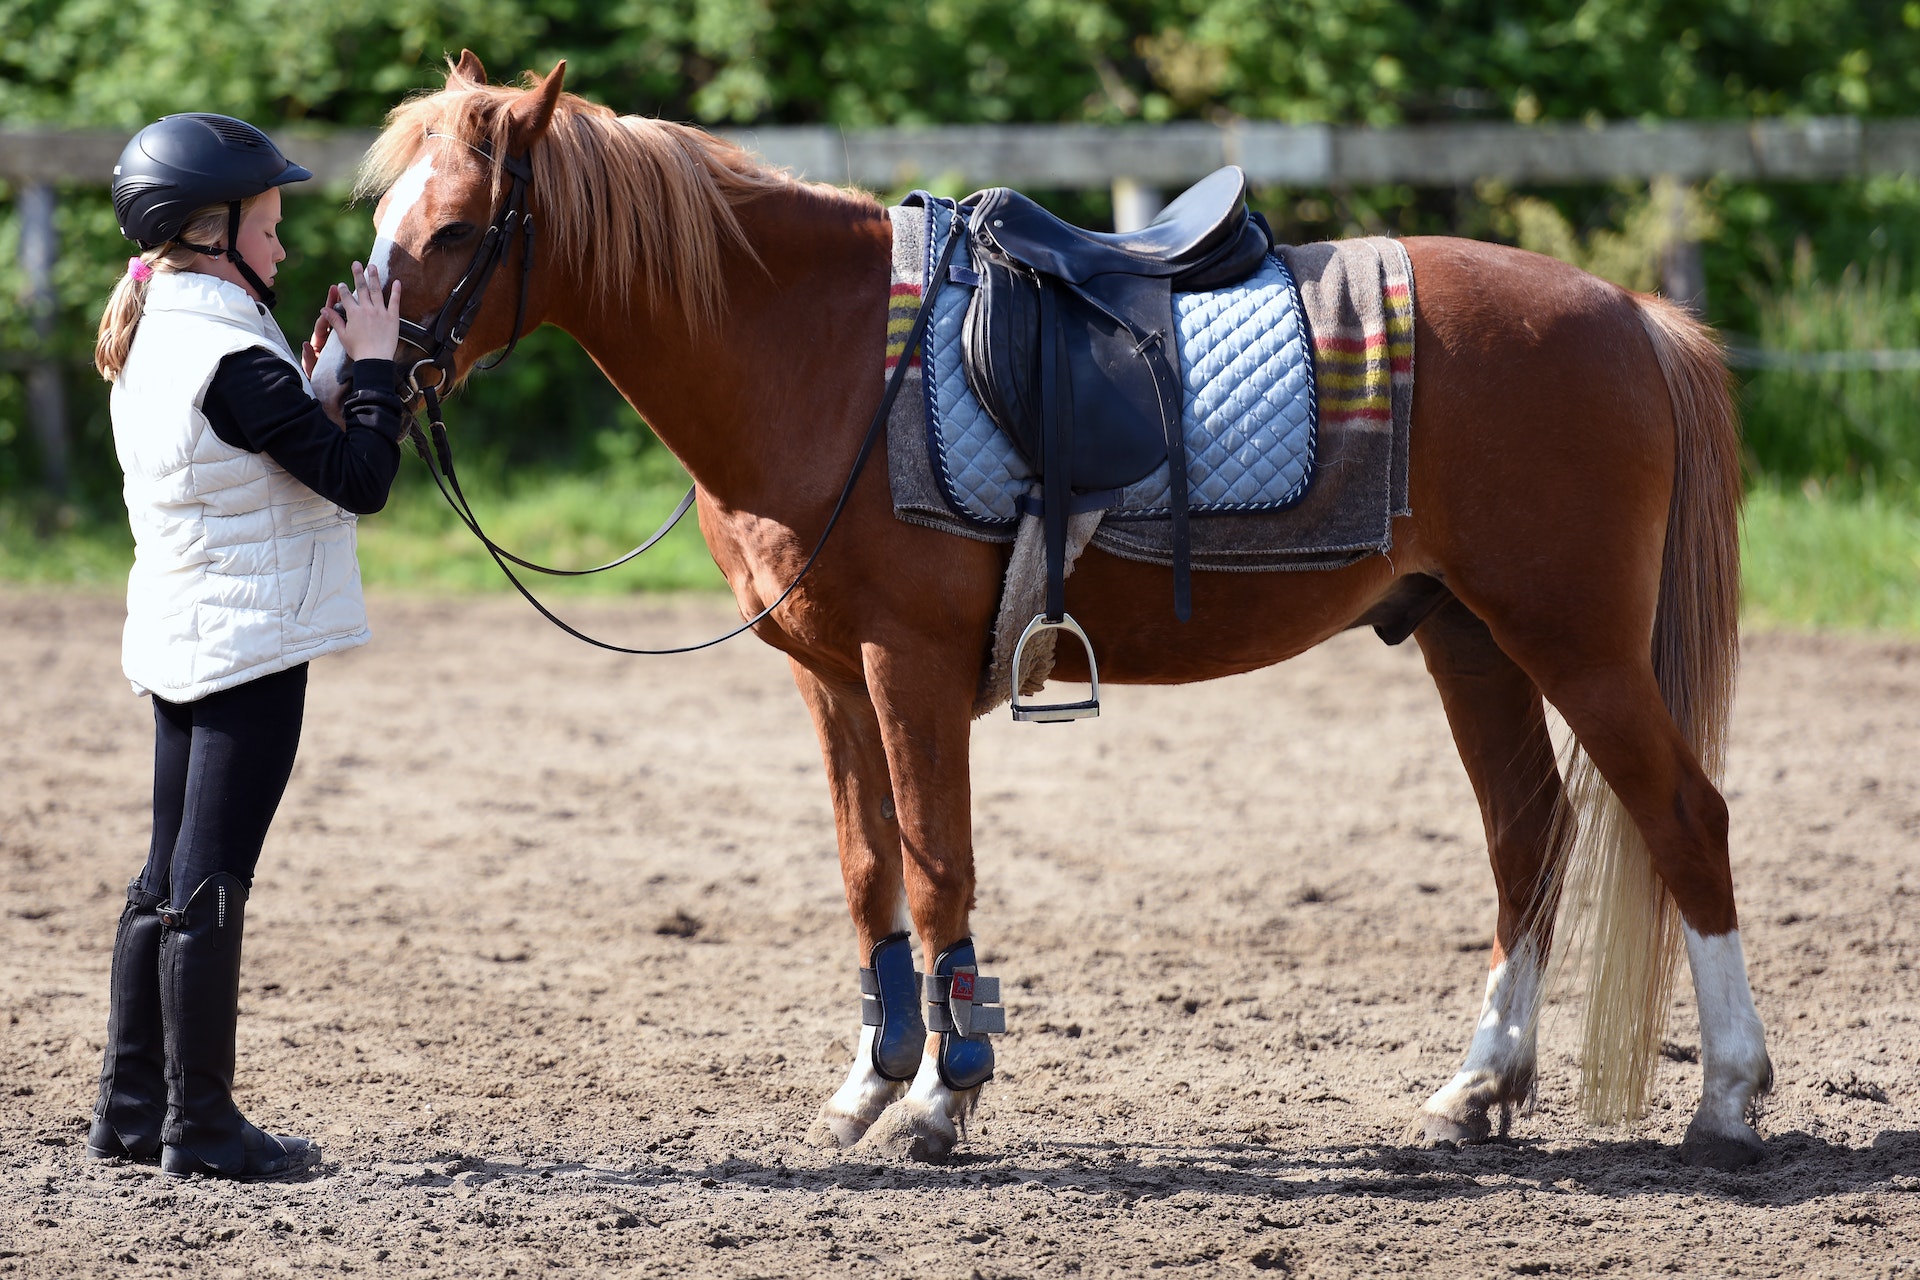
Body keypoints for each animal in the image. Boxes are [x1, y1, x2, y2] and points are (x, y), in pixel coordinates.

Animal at [314, 52, 1766, 1174]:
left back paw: (1730, 1100)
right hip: (1467, 635)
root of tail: (1630, 312)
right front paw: (871, 1080)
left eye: (456, 230)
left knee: (1685, 818)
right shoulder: (825, 676)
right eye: (386, 211)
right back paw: (1480, 1086)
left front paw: (941, 1095)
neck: (815, 352)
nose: (336, 385)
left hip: (1577, 641)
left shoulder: (902, 665)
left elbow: (938, 866)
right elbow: (868, 868)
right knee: (1530, 835)